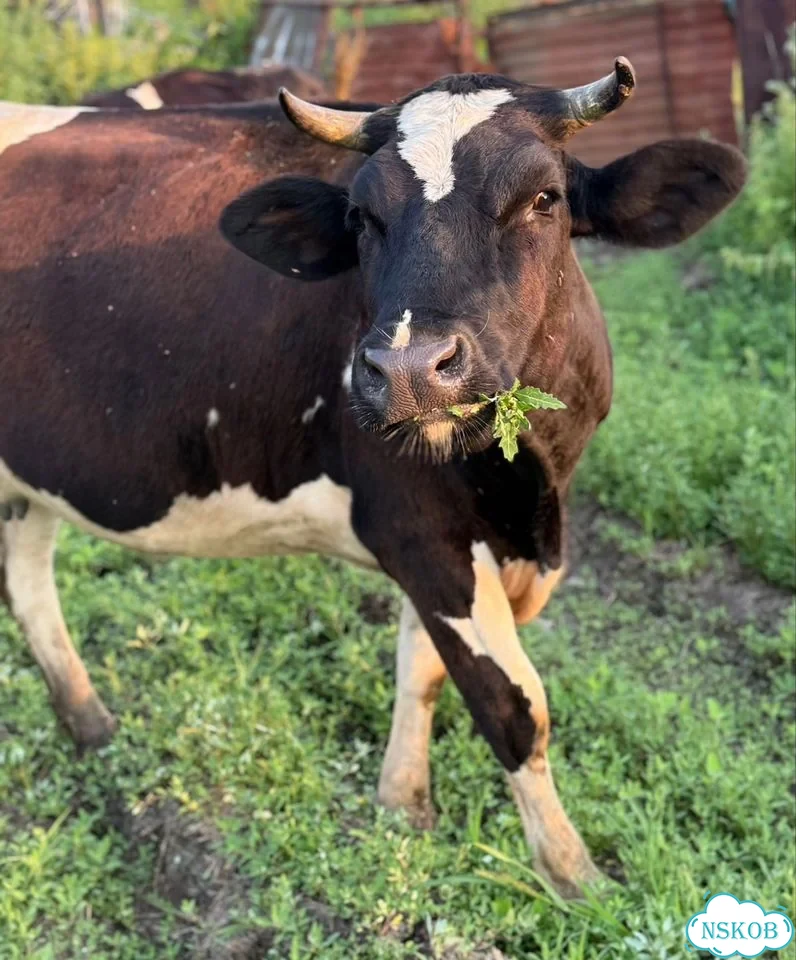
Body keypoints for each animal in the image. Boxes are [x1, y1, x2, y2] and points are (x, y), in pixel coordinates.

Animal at [0, 60, 745, 898]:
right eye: (361, 216)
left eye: (544, 198)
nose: (410, 369)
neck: (534, 497)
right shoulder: (418, 528)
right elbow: (513, 705)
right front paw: (574, 876)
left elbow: (420, 670)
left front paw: (402, 804)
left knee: (28, 584)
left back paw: (90, 723)